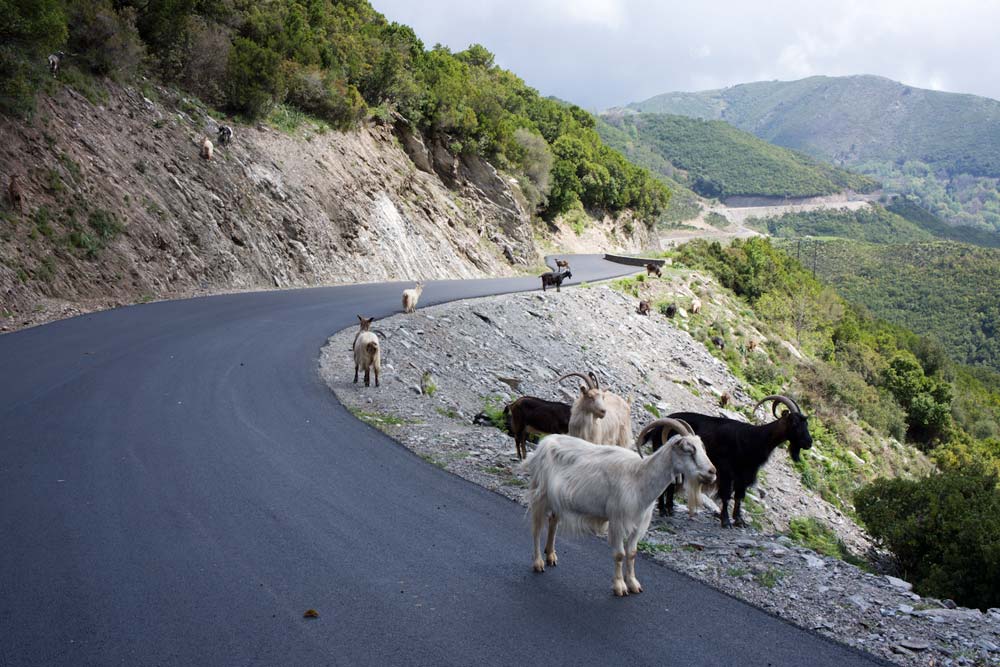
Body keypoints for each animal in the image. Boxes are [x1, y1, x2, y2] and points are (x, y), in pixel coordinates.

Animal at [524, 420, 720, 596]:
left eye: (702, 447)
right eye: (689, 449)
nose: (712, 472)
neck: (639, 479)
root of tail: (543, 444)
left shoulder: (639, 524)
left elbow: (632, 553)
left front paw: (633, 584)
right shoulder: (617, 521)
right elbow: (619, 554)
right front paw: (620, 587)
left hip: (558, 500)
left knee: (553, 522)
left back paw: (551, 556)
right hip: (540, 495)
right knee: (536, 528)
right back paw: (538, 563)